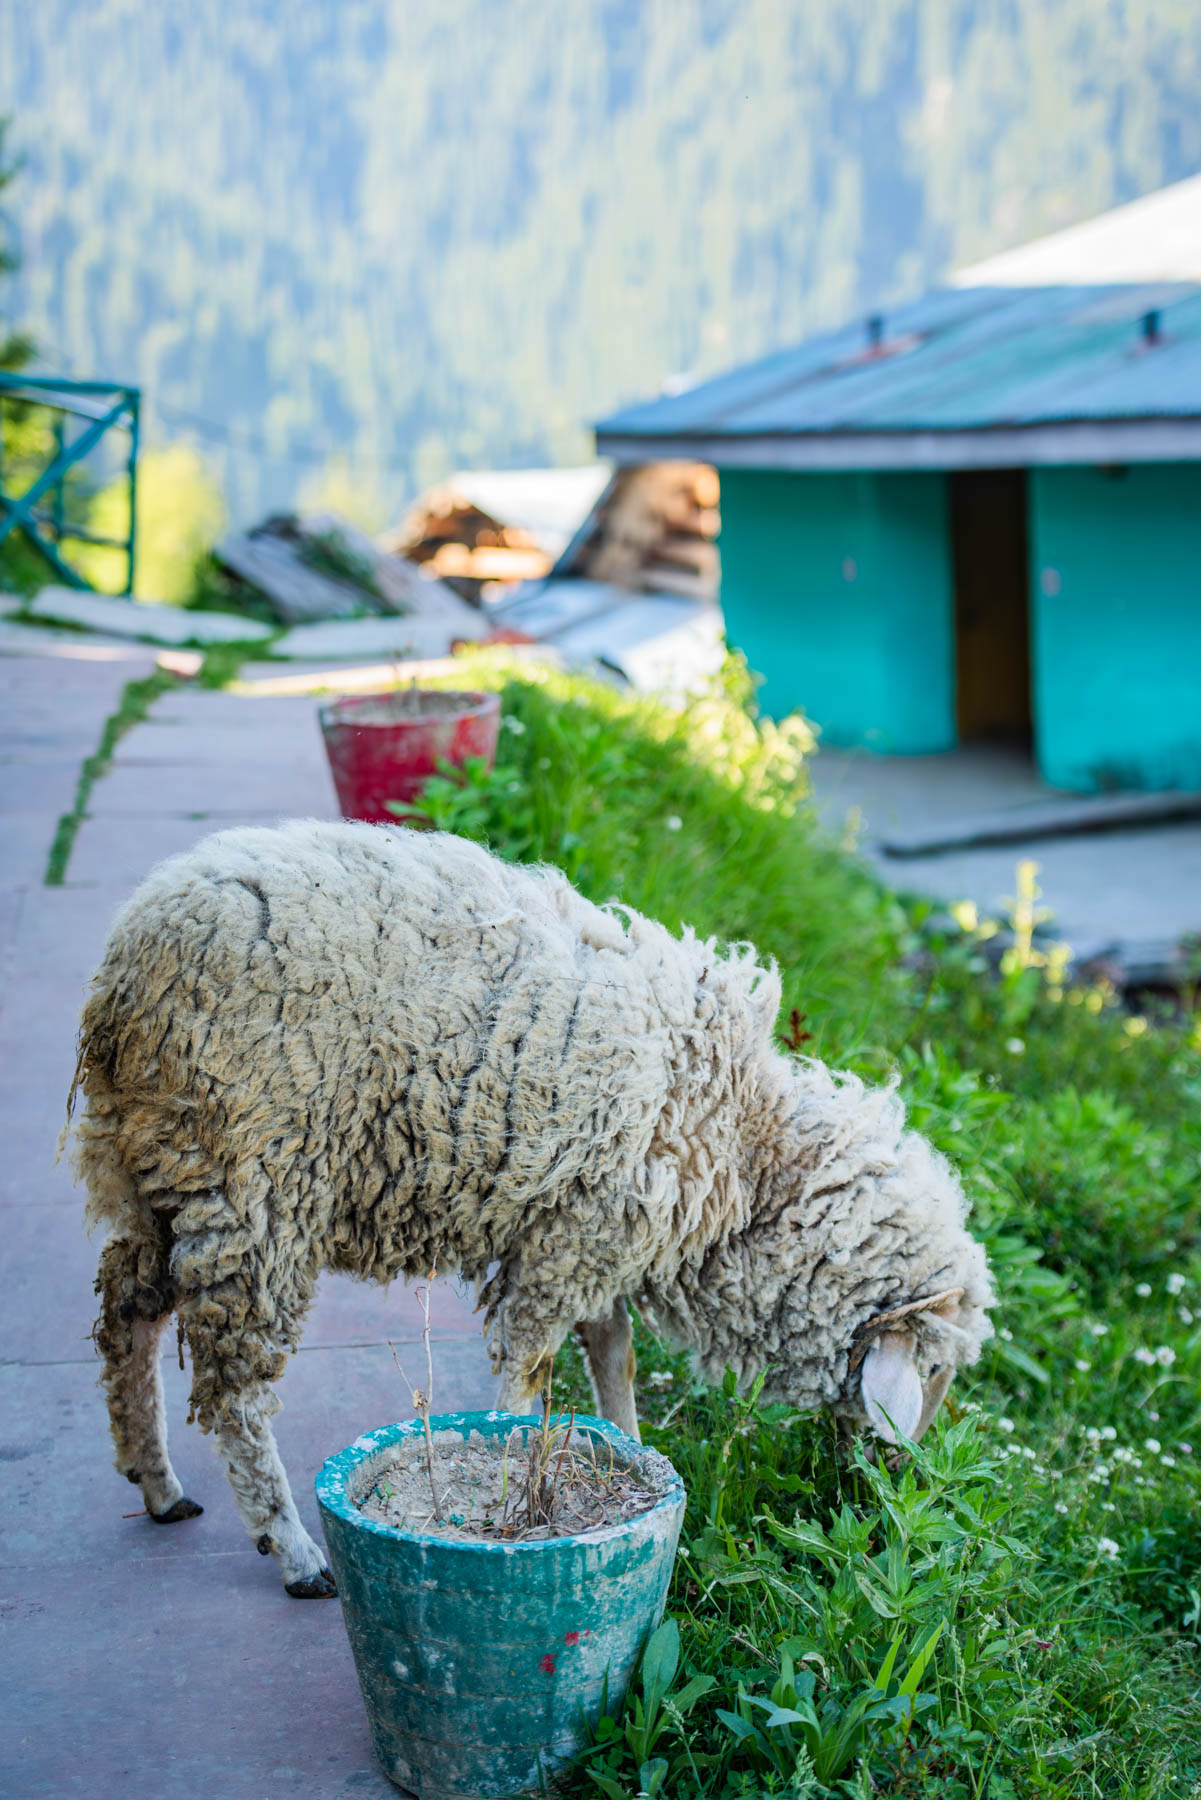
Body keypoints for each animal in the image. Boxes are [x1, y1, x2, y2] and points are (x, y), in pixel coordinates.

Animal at [72, 824, 993, 1598]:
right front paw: (512, 1477)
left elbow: (613, 1355)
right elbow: (528, 1373)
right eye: (932, 1370)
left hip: (160, 1174)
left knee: (125, 1312)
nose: (902, 1487)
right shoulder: (567, 1246)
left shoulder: (595, 1234)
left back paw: (155, 1481)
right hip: (253, 1184)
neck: (744, 1145)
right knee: (234, 1391)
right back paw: (292, 1550)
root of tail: (128, 965)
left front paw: (630, 1449)